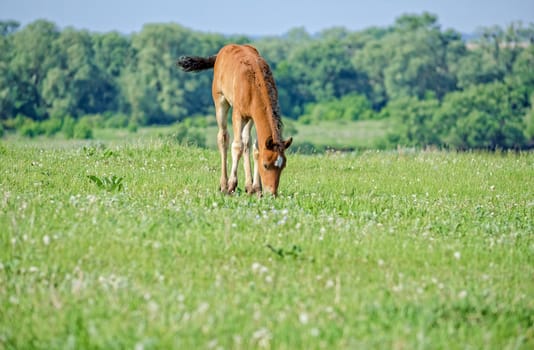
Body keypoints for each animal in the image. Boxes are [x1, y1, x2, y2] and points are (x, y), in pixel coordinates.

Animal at [177, 44, 294, 196]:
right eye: (266, 165)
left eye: (283, 166)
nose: (272, 193)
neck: (254, 84)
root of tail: (222, 51)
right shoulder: (238, 114)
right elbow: (237, 146)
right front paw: (231, 186)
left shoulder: (253, 116)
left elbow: (255, 148)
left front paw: (256, 188)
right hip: (220, 101)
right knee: (223, 138)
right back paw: (223, 184)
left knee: (246, 142)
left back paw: (249, 186)